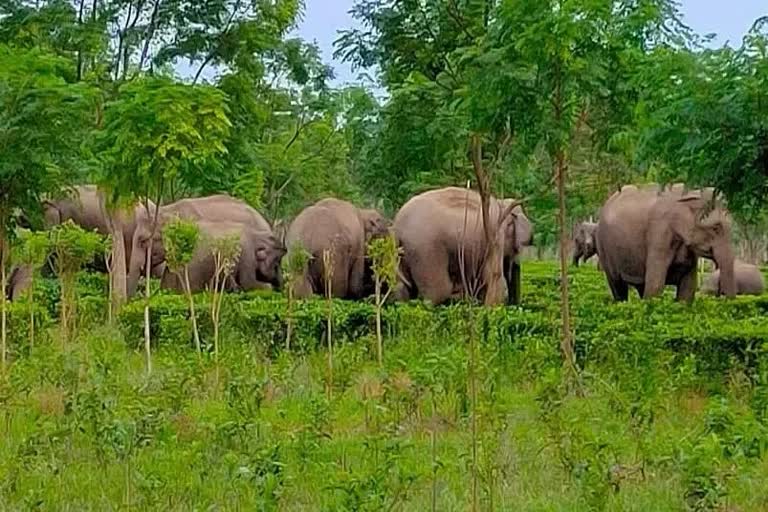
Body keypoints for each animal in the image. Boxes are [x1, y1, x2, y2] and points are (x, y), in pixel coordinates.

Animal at [392, 188, 532, 308]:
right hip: (426, 249)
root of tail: (397, 226)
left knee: (403, 287)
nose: (514, 305)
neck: (502, 203)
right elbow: (492, 277)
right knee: (438, 291)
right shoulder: (495, 236)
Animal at [596, 185, 736, 302]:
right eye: (716, 228)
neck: (692, 193)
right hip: (603, 246)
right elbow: (655, 285)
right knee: (617, 286)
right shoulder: (659, 233)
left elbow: (688, 287)